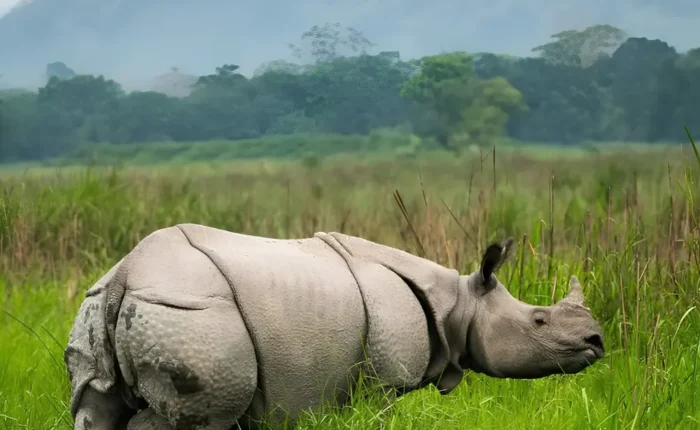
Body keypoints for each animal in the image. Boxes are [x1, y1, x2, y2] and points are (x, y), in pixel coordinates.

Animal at [64, 223, 605, 430]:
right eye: (538, 320)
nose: (596, 341)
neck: (458, 303)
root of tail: (127, 274)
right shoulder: (385, 379)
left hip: (100, 306)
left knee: (95, 408)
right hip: (195, 316)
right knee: (193, 420)